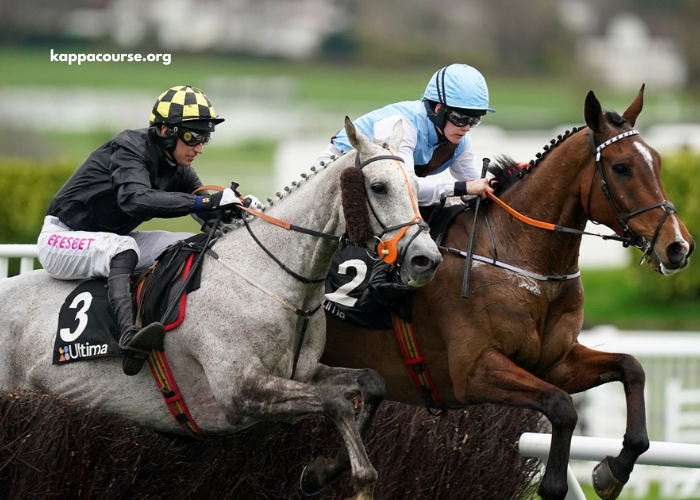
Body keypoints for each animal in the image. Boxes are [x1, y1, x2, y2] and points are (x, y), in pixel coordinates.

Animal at [0, 118, 440, 500]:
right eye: (379, 186)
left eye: (415, 184)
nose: (426, 259)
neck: (268, 277)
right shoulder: (239, 391)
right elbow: (336, 406)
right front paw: (354, 478)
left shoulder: (303, 373)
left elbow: (372, 383)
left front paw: (321, 472)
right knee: (121, 251)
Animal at [314, 88, 696, 498]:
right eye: (622, 167)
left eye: (657, 161)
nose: (678, 246)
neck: (524, 261)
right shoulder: (474, 372)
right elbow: (562, 407)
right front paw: (558, 482)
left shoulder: (555, 362)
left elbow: (632, 368)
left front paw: (614, 470)